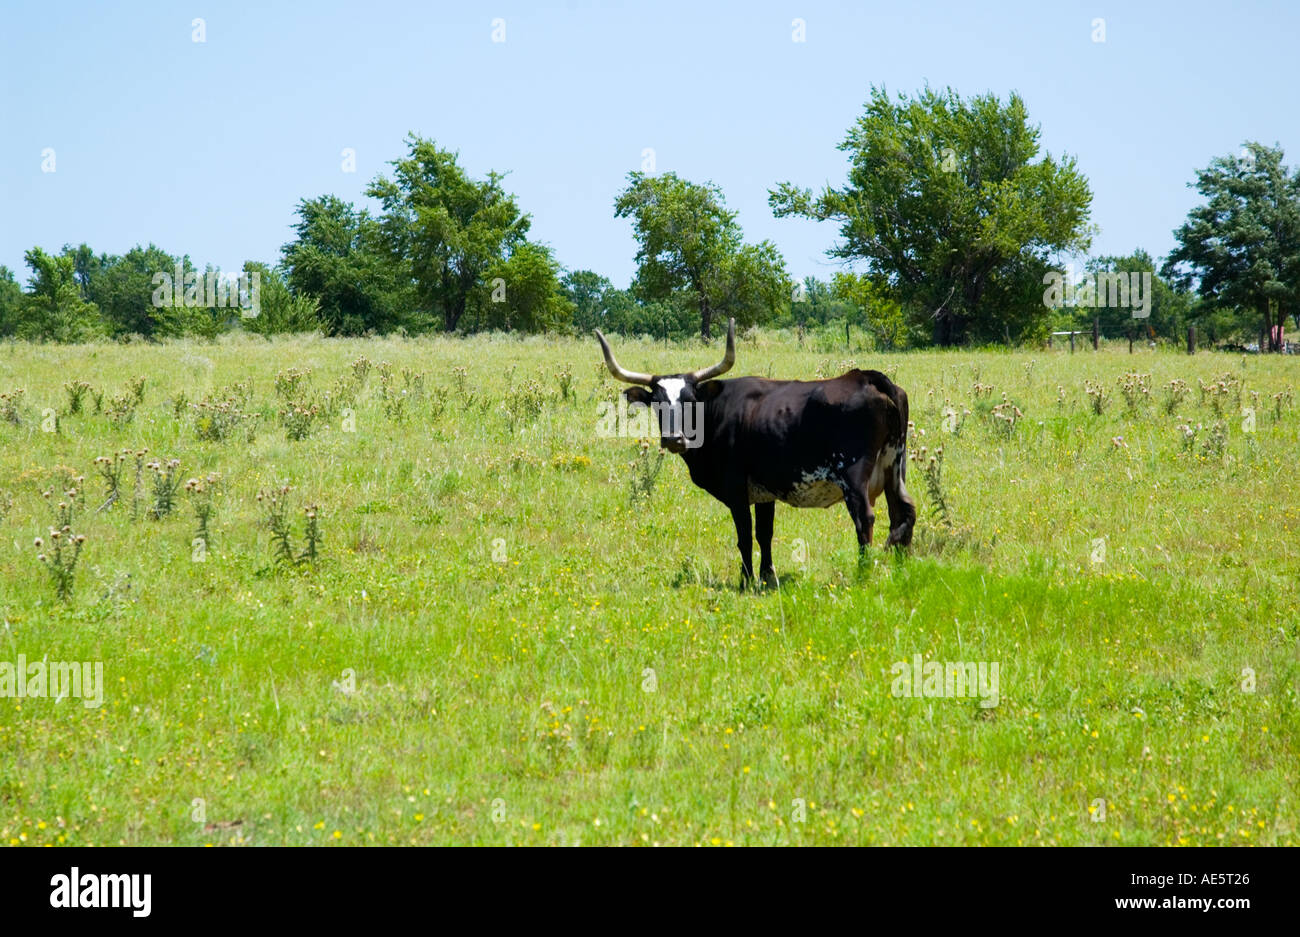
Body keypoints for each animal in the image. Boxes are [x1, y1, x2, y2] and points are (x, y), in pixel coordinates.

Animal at [595, 318, 916, 586]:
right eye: (658, 403)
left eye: (690, 400)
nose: (675, 439)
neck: (717, 414)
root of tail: (866, 377)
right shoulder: (765, 492)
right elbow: (765, 533)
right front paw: (767, 575)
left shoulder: (737, 491)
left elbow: (745, 536)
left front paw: (747, 579)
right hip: (894, 468)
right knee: (903, 512)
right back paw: (902, 567)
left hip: (854, 476)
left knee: (865, 519)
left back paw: (863, 574)